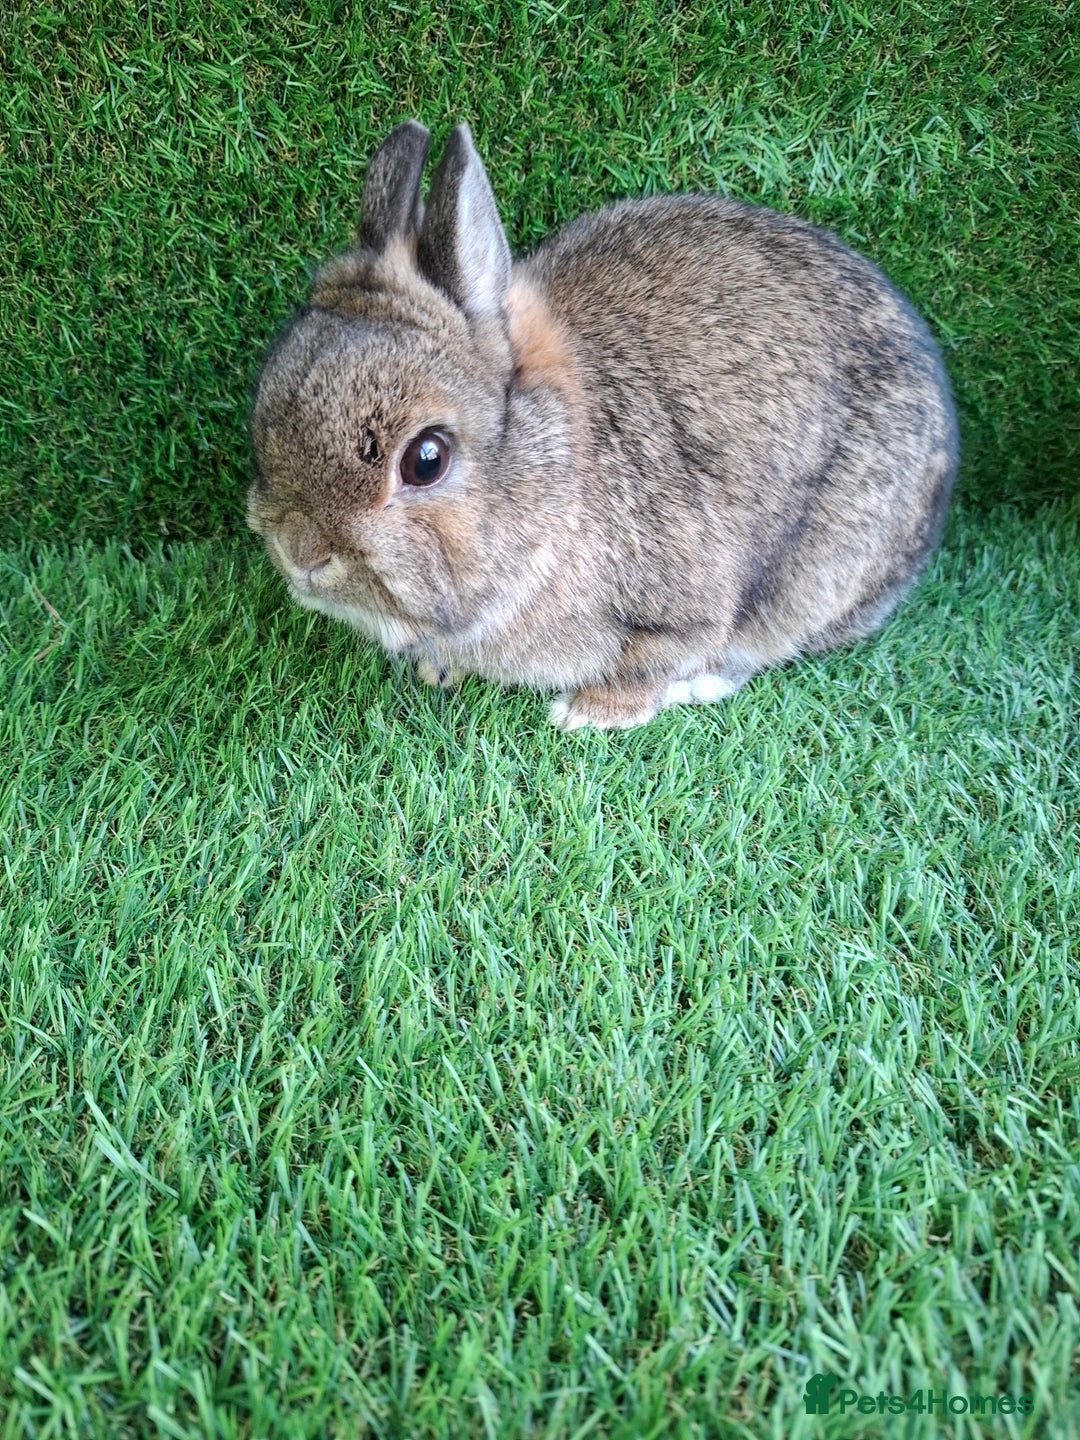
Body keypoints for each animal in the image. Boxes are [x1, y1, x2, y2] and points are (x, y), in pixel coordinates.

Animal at [247, 119, 958, 731]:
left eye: (426, 459)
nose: (301, 553)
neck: (558, 482)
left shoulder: (686, 610)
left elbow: (661, 657)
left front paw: (586, 714)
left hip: (818, 578)